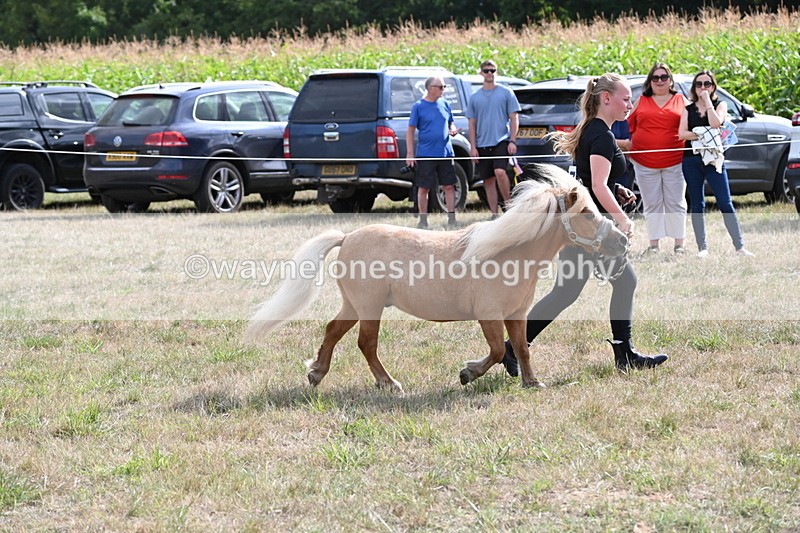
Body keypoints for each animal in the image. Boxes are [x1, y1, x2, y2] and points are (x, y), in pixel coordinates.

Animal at [244, 164, 629, 391]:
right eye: (587, 214)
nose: (622, 241)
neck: (509, 254)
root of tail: (347, 237)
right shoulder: (489, 315)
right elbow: (494, 351)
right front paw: (467, 374)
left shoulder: (516, 314)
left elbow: (521, 347)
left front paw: (533, 383)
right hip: (370, 307)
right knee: (366, 343)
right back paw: (389, 384)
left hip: (355, 305)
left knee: (333, 331)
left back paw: (316, 373)